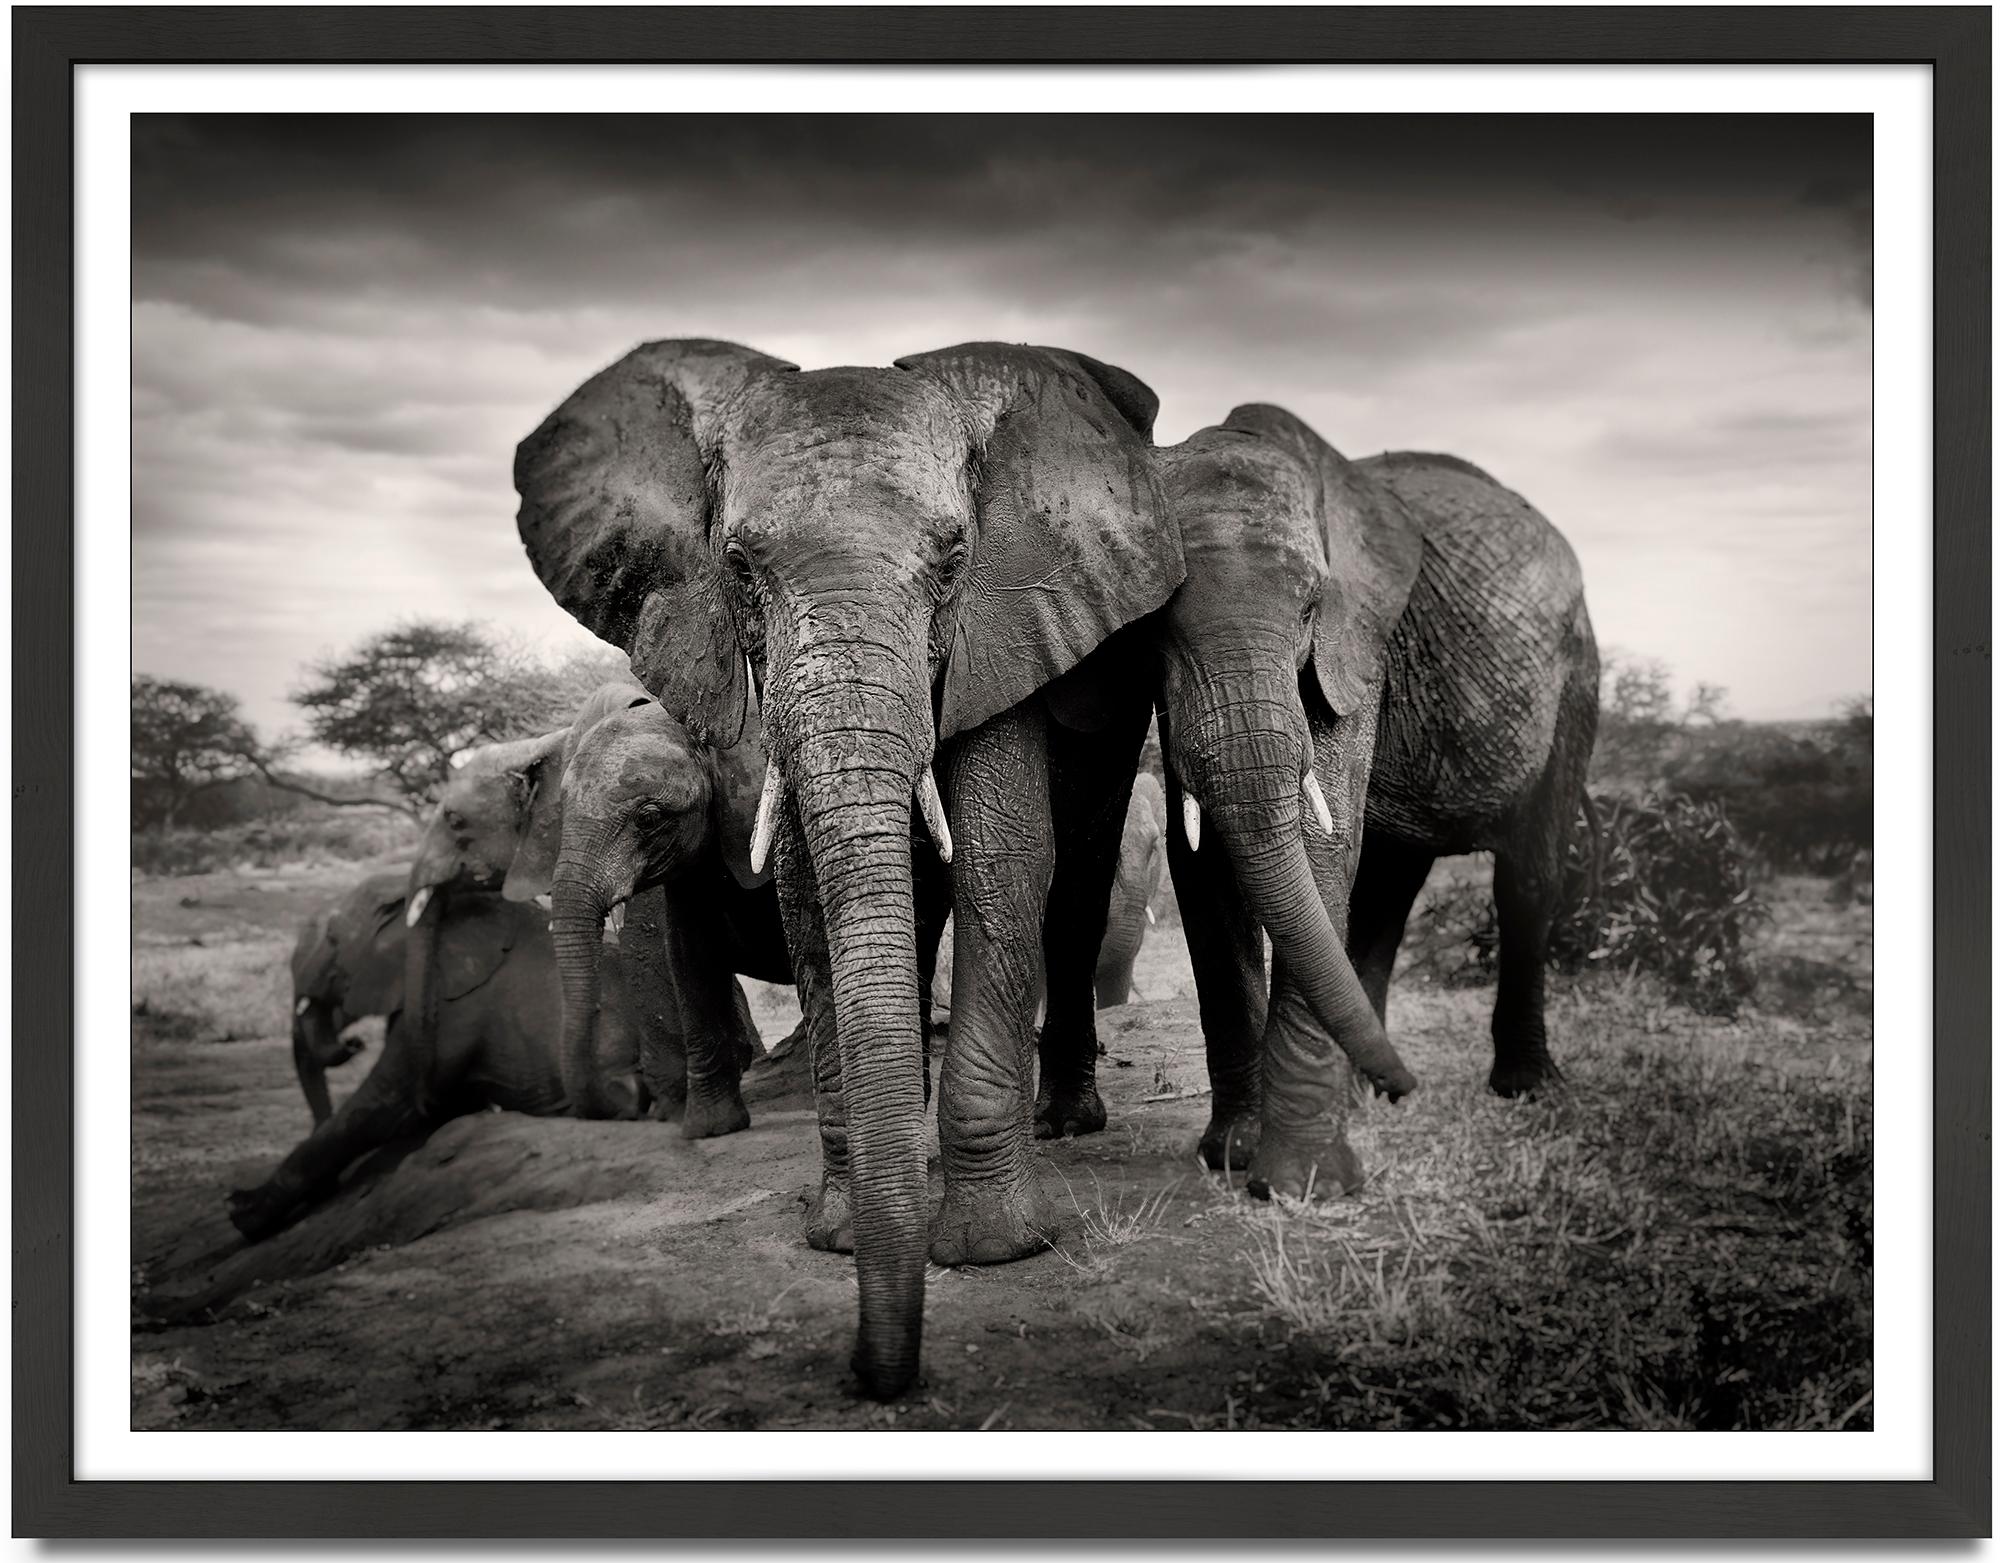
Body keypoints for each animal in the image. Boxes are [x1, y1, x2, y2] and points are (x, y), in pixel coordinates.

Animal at [508, 335, 1184, 1399]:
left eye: (955, 559)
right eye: (737, 565)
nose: (875, 1373)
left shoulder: (1005, 627)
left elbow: (1003, 859)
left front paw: (993, 1248)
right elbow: (805, 896)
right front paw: (840, 1230)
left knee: (1075, 885)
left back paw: (1065, 1121)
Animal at [1048, 409, 1592, 1207]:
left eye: (1310, 607)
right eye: (1154, 629)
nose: (1411, 1083)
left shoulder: (1355, 648)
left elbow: (1322, 835)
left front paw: (1303, 1183)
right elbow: (1205, 865)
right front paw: (1233, 1152)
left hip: (1576, 674)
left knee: (1527, 874)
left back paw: (1523, 1088)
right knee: (1389, 891)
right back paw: (1367, 1093)